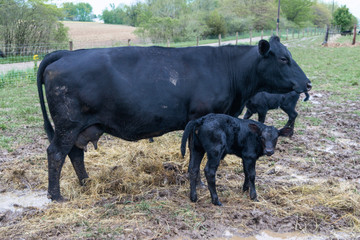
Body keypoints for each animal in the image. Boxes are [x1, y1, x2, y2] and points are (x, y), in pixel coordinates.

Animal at [38, 36, 310, 201]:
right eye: (283, 58)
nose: (307, 83)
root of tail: (65, 54)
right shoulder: (200, 117)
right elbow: (196, 159)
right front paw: (200, 186)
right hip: (68, 125)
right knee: (56, 153)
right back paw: (56, 195)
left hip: (82, 127)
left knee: (75, 153)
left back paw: (86, 182)